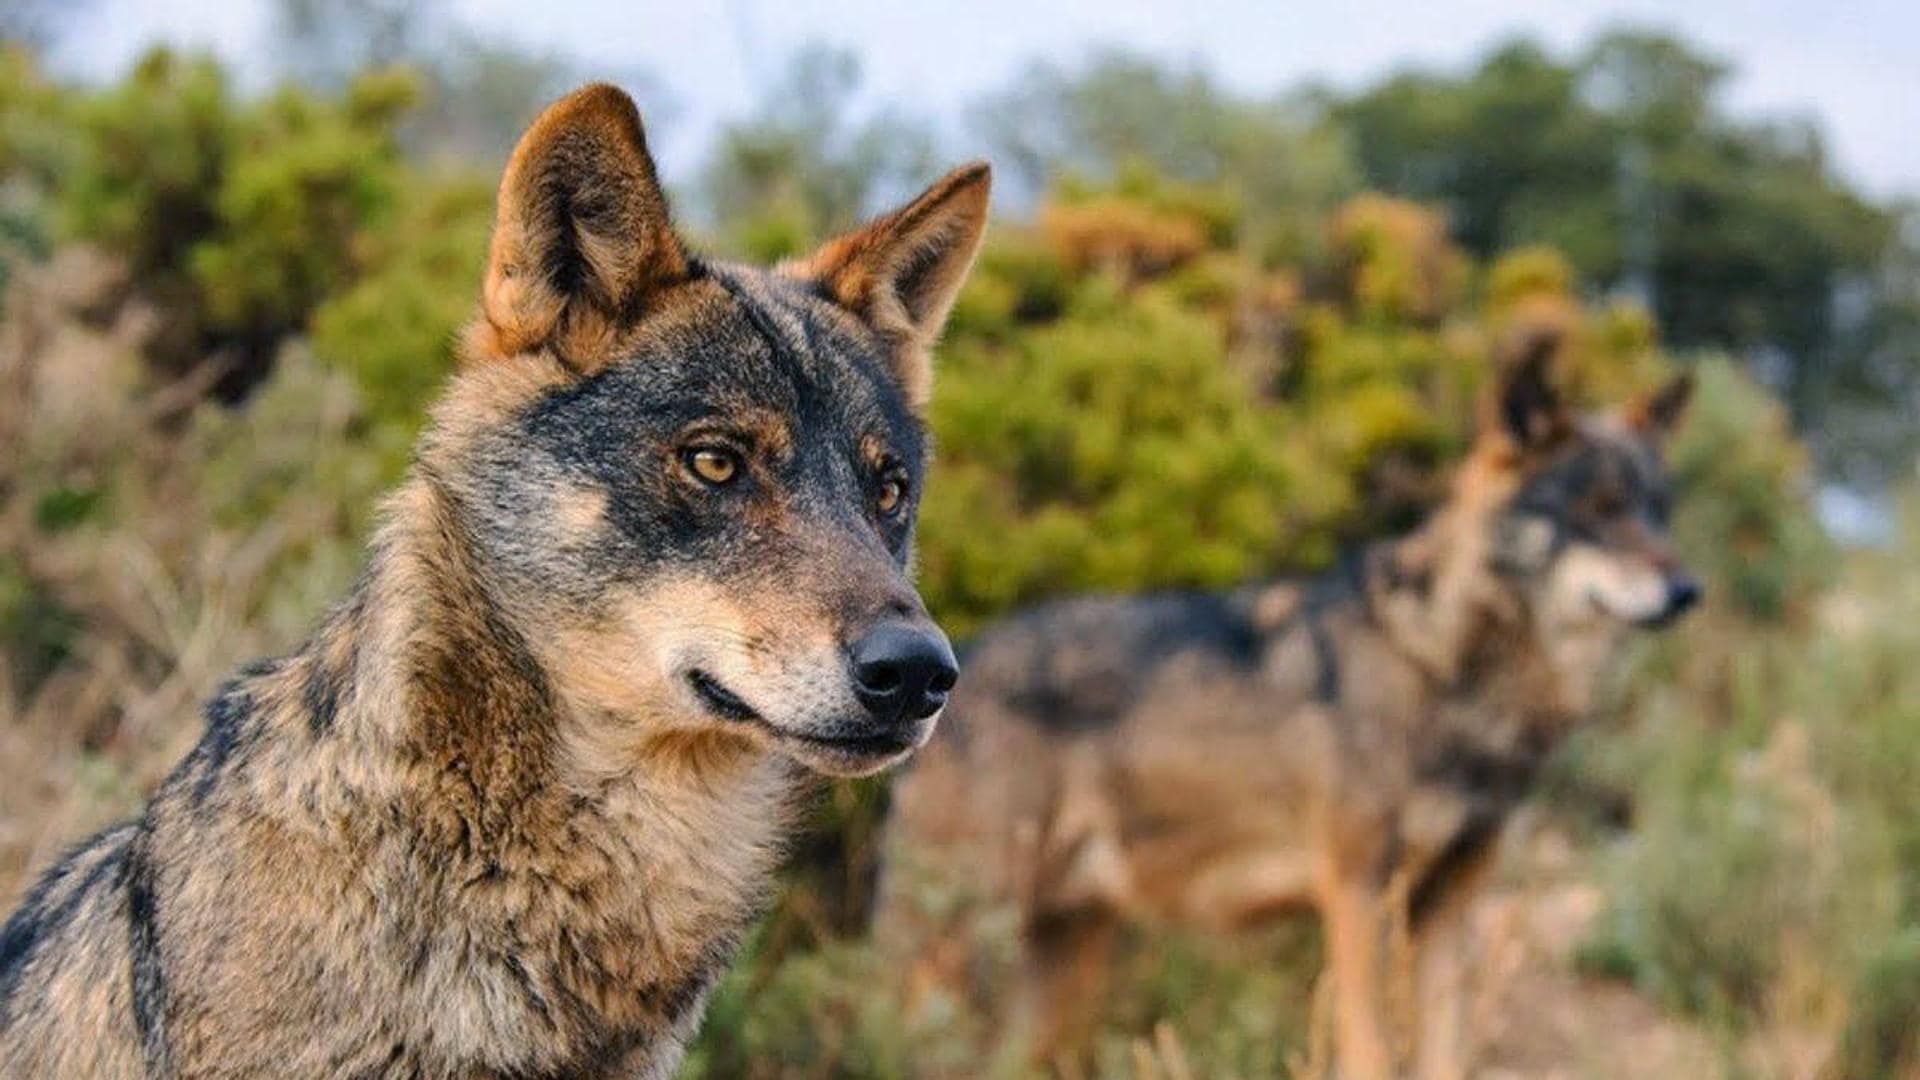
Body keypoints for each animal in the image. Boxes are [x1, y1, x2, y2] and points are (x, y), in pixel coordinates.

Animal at [879, 336, 1697, 1076]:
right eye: (1597, 510)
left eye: (1658, 512)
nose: (1689, 590)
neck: (1442, 665)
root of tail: (956, 662)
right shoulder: (1360, 895)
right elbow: (1371, 1054)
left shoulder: (1452, 906)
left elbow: (1446, 1054)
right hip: (960, 946)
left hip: (1060, 966)